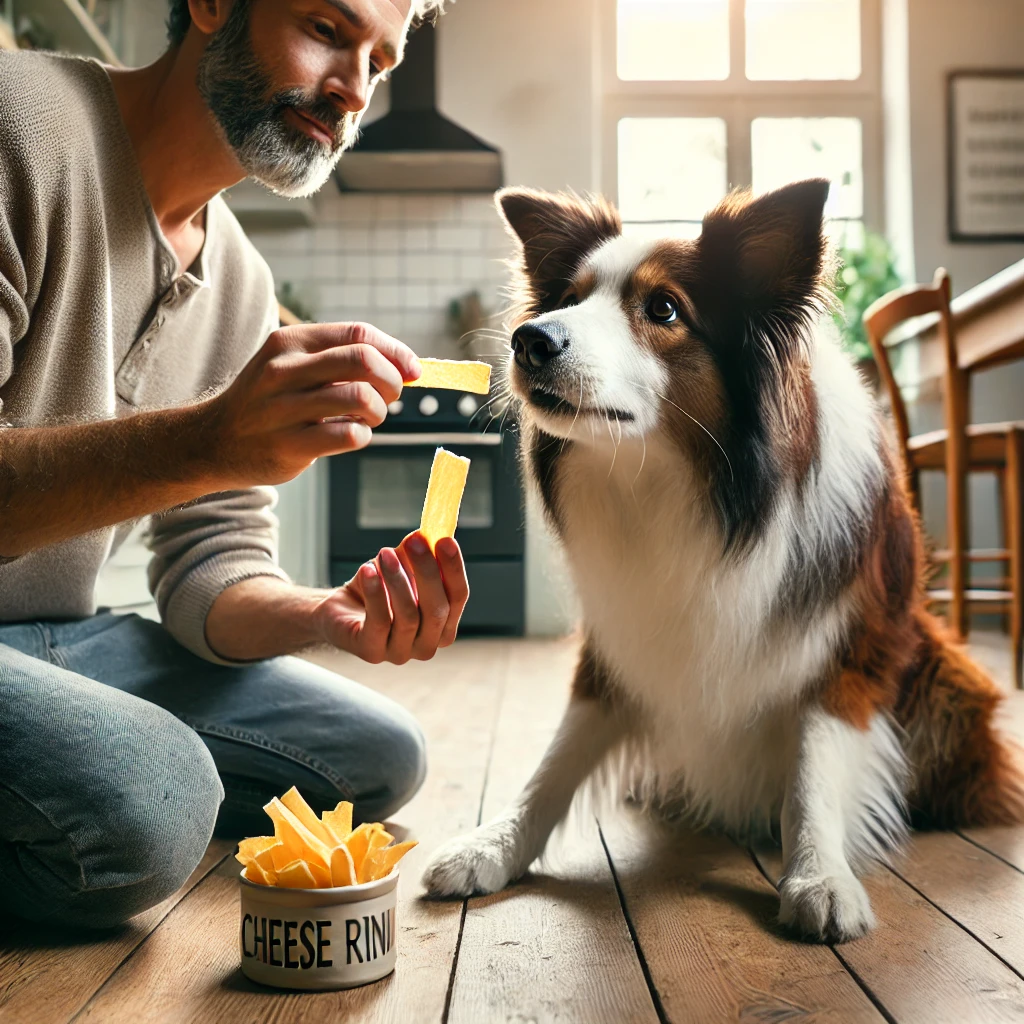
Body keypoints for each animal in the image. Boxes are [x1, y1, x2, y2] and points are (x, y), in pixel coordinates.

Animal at [417, 180, 1024, 937]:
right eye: (569, 297)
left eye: (663, 309)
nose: (529, 339)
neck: (685, 487)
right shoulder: (619, 636)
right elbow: (558, 759)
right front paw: (492, 845)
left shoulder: (850, 645)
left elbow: (813, 767)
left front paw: (819, 875)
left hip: (948, 684)